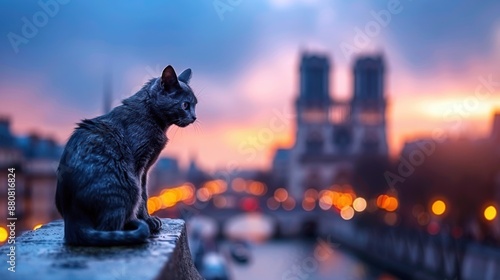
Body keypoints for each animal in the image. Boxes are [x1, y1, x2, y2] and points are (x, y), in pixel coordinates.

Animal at [56, 65, 197, 245]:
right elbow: (142, 197)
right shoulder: (138, 164)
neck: (152, 116)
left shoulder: (145, 170)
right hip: (126, 183)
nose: (194, 117)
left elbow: (145, 193)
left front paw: (147, 218)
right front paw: (146, 220)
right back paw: (131, 225)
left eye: (195, 104)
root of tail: (72, 221)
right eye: (185, 105)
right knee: (108, 228)